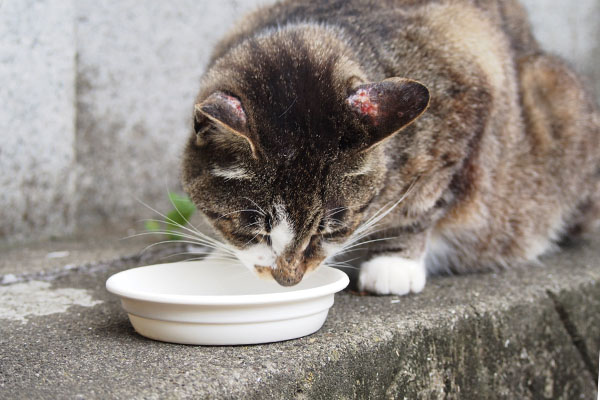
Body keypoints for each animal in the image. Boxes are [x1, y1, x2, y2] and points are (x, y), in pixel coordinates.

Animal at [179, 0, 600, 294]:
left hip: (556, 98)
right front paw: (224, 253)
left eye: (333, 227)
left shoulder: (471, 89)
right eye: (251, 224)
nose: (288, 279)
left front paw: (394, 264)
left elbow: (425, 201)